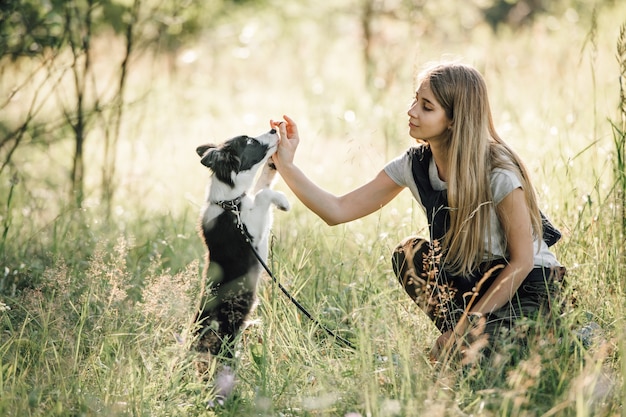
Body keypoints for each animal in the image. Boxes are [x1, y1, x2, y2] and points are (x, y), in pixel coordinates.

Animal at [191, 127, 288, 404]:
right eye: (249, 141)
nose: (275, 128)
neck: (229, 203)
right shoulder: (253, 228)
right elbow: (263, 194)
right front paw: (283, 201)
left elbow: (262, 185)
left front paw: (273, 165)